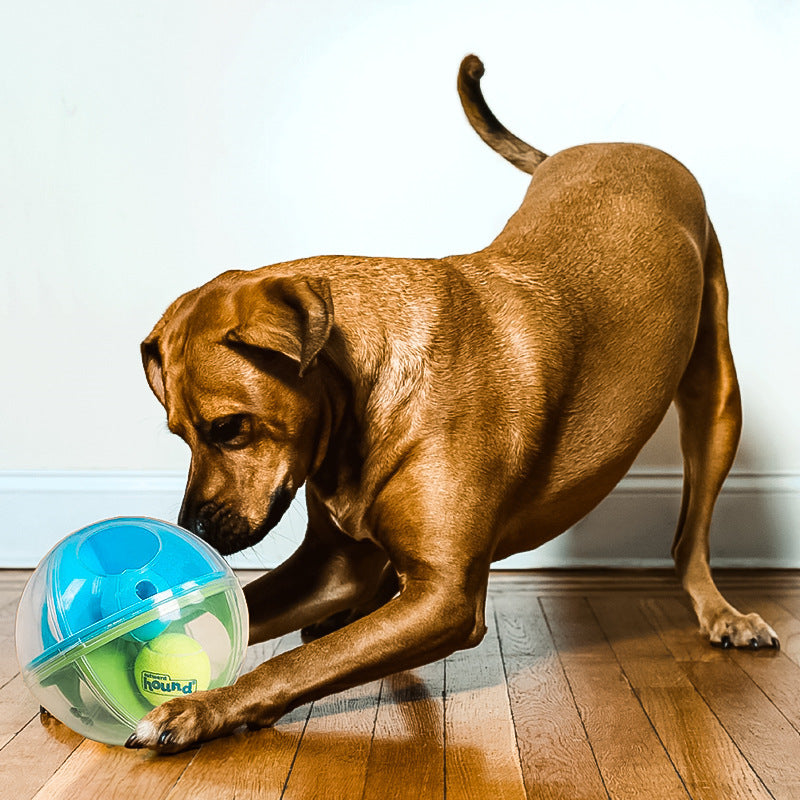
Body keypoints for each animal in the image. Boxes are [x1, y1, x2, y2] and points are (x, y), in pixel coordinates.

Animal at [128, 54, 780, 752]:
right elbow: (261, 613)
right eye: (179, 435)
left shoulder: (444, 599)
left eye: (230, 428)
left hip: (717, 399)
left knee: (689, 538)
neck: (364, 403)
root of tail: (596, 148)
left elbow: (297, 664)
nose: (193, 530)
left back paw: (723, 612)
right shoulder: (334, 568)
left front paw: (204, 708)